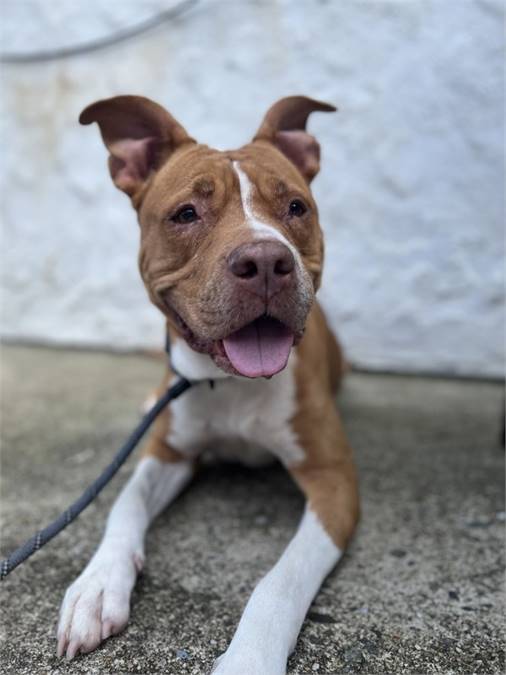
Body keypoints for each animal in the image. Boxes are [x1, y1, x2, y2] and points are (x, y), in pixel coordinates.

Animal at [56, 95, 360, 675]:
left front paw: (249, 660)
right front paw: (97, 586)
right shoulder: (169, 451)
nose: (265, 261)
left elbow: (281, 580)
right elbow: (124, 504)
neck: (230, 382)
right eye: (186, 214)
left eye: (296, 208)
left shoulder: (333, 480)